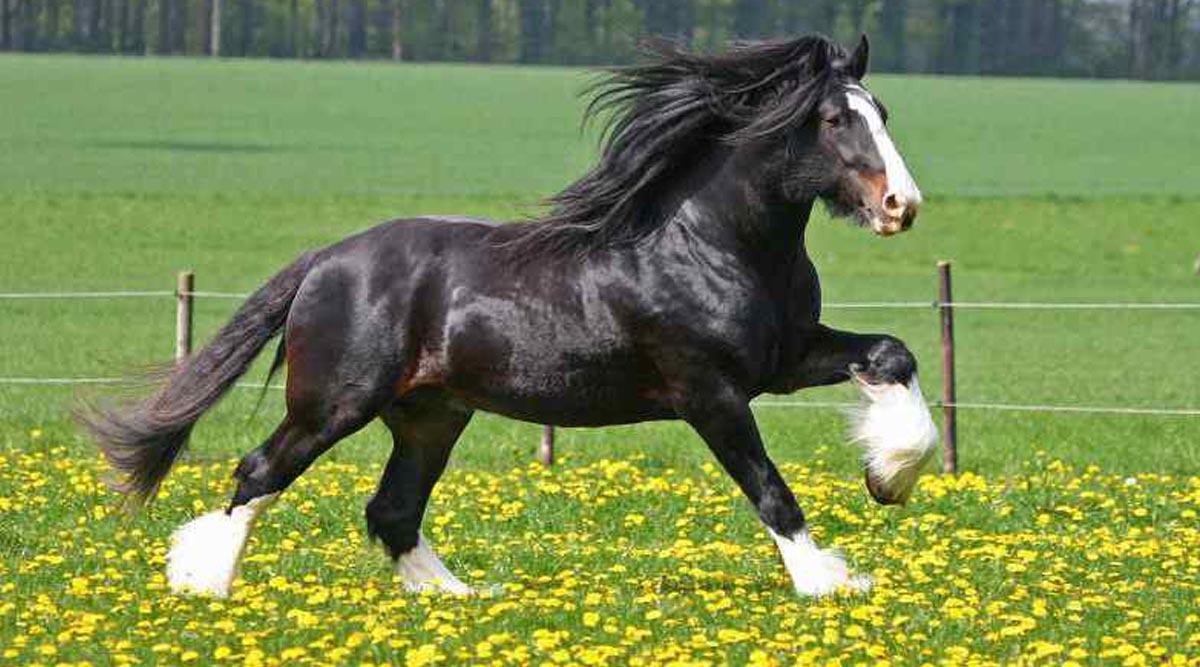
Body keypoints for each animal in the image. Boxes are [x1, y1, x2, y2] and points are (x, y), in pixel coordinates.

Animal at [88, 33, 940, 599]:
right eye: (834, 120)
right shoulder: (710, 391)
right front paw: (829, 579)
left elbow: (892, 354)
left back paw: (459, 598)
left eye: (883, 110)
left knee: (391, 508)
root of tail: (326, 259)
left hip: (431, 414)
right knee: (259, 472)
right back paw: (201, 581)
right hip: (334, 402)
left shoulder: (785, 358)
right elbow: (768, 485)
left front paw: (888, 476)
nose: (902, 205)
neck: (710, 241)